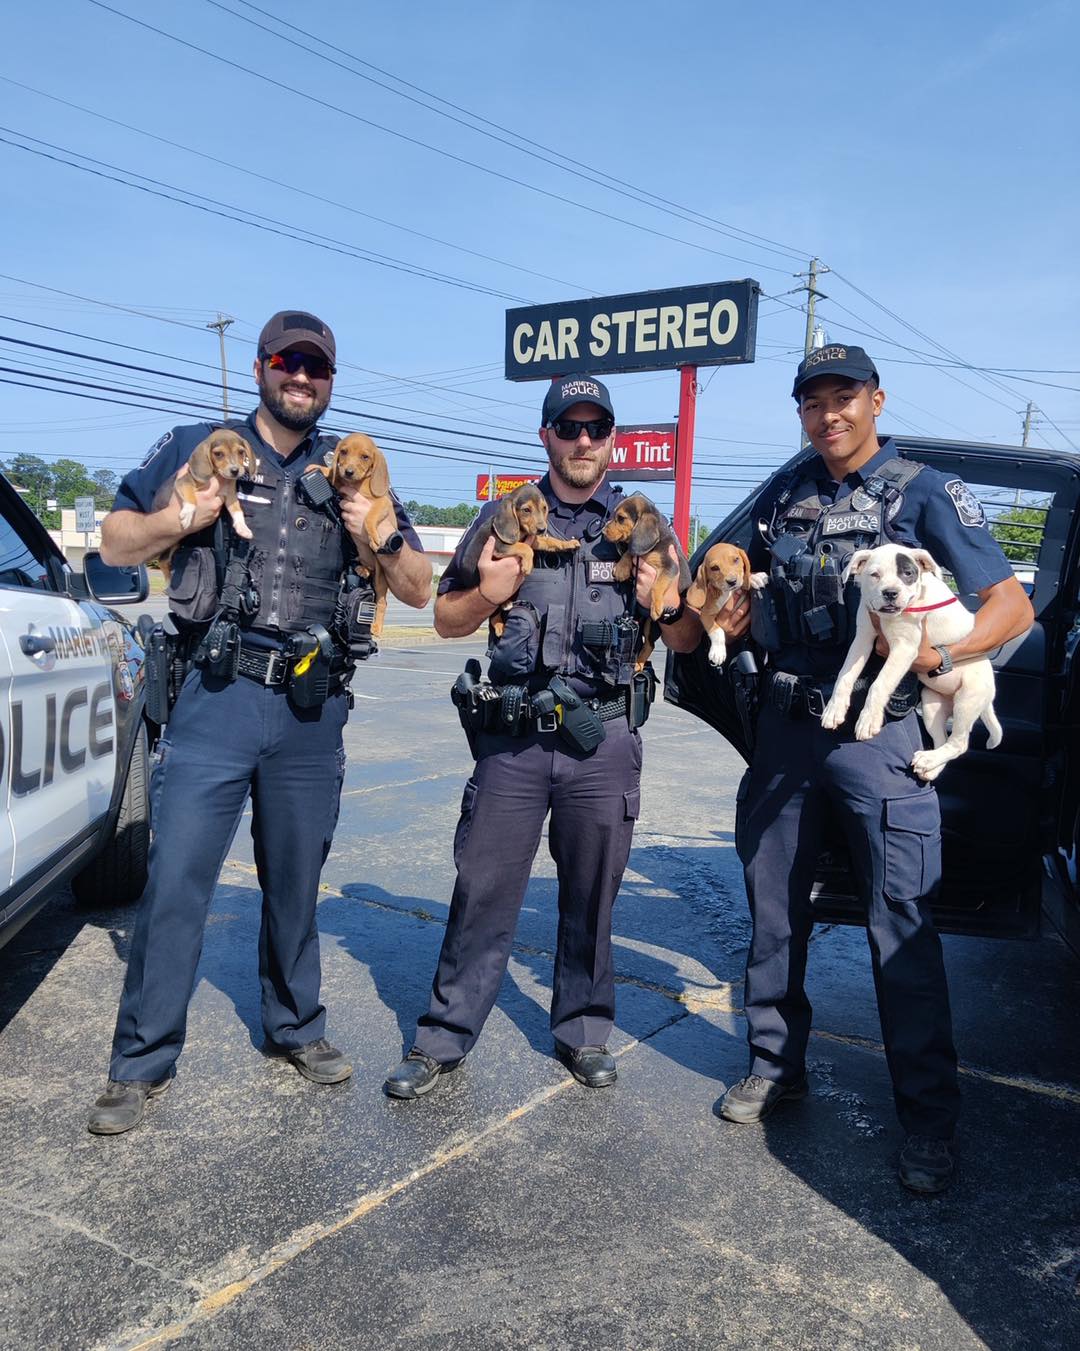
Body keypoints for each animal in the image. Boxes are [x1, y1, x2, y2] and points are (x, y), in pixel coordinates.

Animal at [462, 480, 586, 637]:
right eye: (526, 510)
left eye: (544, 508)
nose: (542, 529)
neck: (520, 530)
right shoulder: (500, 546)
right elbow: (524, 547)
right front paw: (528, 565)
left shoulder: (535, 539)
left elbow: (551, 541)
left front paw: (567, 543)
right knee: (493, 613)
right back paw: (501, 621)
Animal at [821, 540, 1005, 783]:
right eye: (874, 575)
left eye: (907, 574)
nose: (890, 592)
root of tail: (990, 697)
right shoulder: (863, 638)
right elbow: (844, 675)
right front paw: (834, 709)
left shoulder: (904, 648)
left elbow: (879, 684)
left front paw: (868, 719)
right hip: (931, 704)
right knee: (942, 739)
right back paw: (930, 764)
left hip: (967, 699)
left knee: (959, 743)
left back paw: (931, 759)